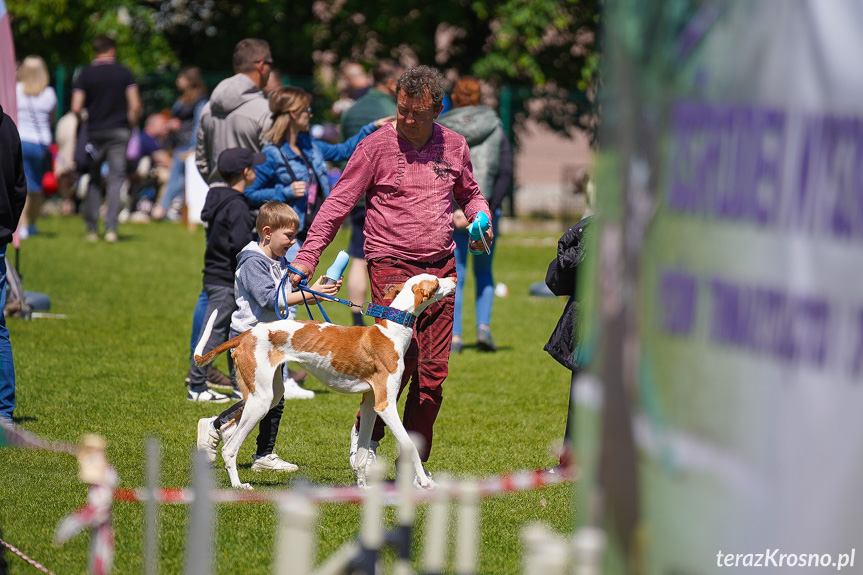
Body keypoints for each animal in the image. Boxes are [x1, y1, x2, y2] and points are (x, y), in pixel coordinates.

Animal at [192, 274, 456, 490]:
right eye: (435, 282)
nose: (453, 278)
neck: (392, 331)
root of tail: (247, 334)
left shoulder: (370, 404)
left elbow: (361, 454)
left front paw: (363, 488)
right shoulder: (385, 404)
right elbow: (410, 445)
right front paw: (424, 482)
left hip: (269, 393)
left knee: (229, 428)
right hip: (262, 399)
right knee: (230, 449)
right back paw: (238, 485)